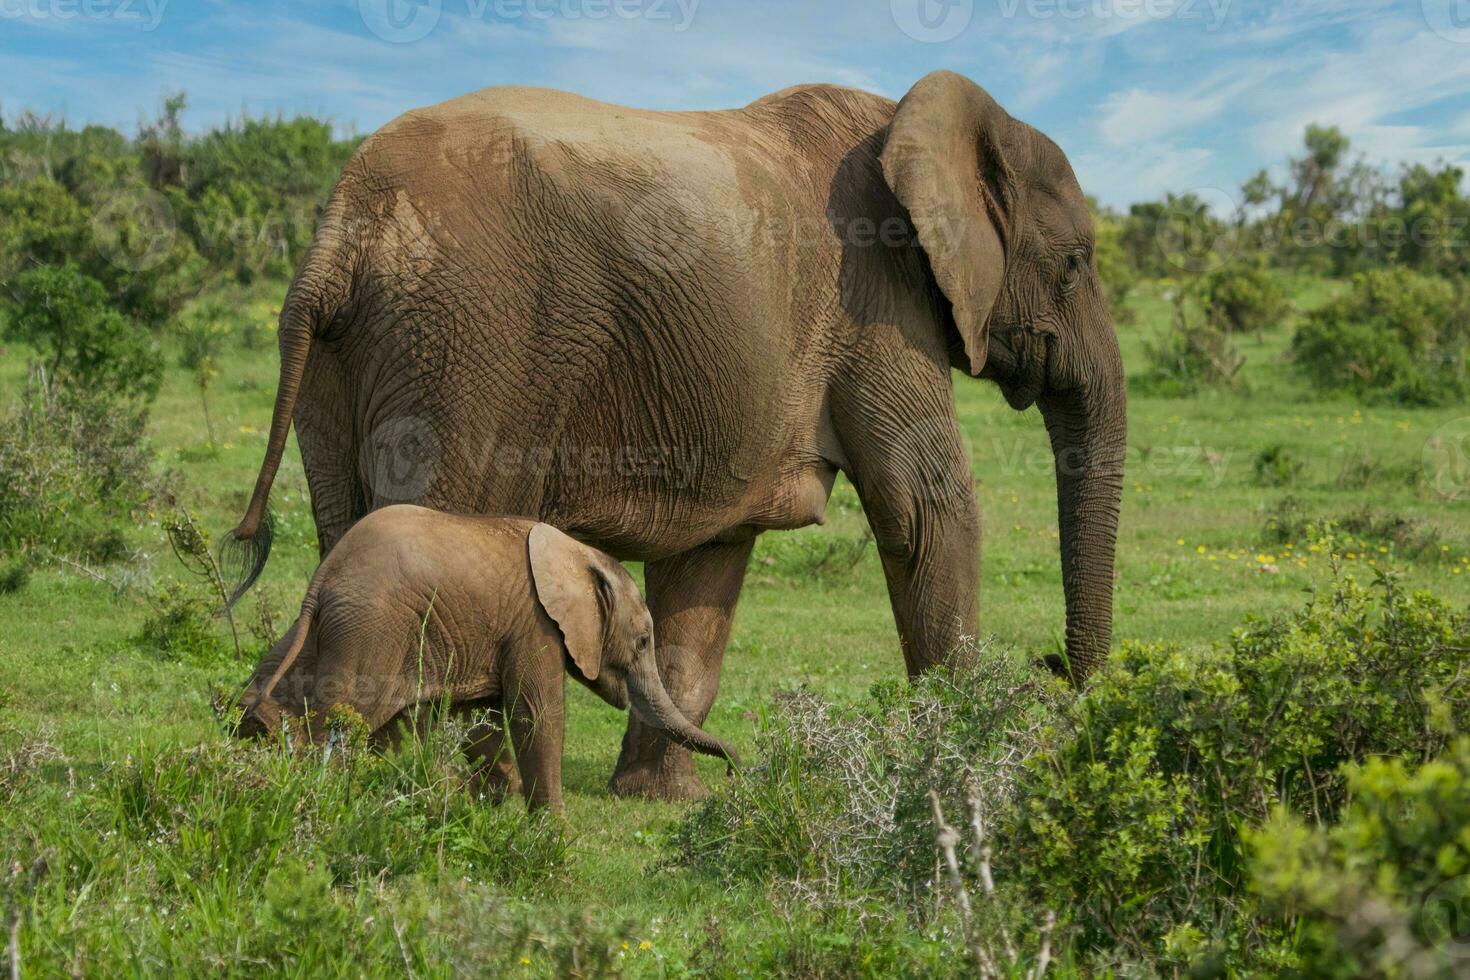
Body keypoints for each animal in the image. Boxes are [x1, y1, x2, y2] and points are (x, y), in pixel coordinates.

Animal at [238, 505, 735, 811]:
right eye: (644, 641)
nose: (735, 768)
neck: (581, 555)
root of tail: (324, 576)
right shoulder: (535, 623)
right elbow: (536, 714)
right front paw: (552, 829)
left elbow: (482, 717)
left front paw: (488, 803)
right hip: (372, 628)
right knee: (344, 718)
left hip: (327, 629)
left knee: (276, 691)